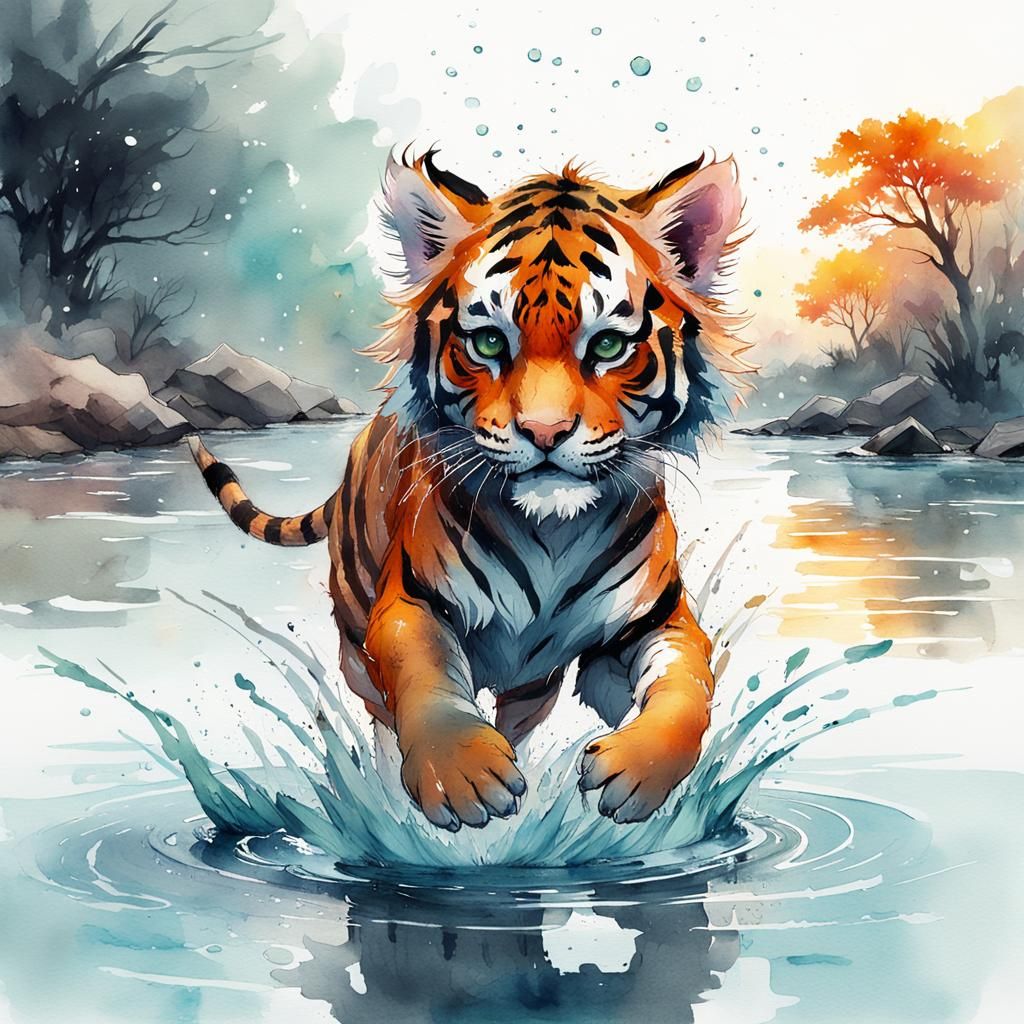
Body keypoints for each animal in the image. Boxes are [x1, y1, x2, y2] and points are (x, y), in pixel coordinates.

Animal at [188, 148, 750, 832]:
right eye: (487, 342)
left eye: (609, 345)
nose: (544, 431)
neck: (553, 532)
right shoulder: (412, 602)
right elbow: (425, 678)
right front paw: (461, 776)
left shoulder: (650, 624)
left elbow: (687, 687)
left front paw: (635, 771)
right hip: (354, 629)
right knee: (380, 713)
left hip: (534, 681)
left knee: (522, 716)